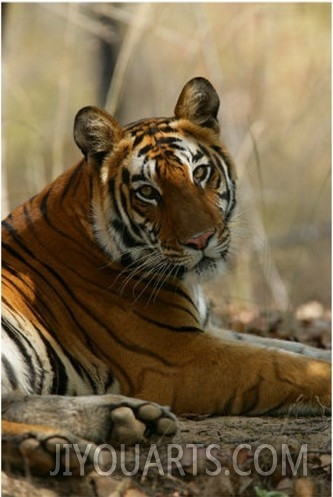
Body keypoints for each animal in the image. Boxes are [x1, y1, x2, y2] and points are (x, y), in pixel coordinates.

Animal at [1, 76, 330, 472]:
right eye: (147, 192)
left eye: (200, 174)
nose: (200, 239)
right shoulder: (178, 356)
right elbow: (285, 366)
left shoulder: (205, 330)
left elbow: (298, 348)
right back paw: (55, 446)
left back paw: (127, 419)